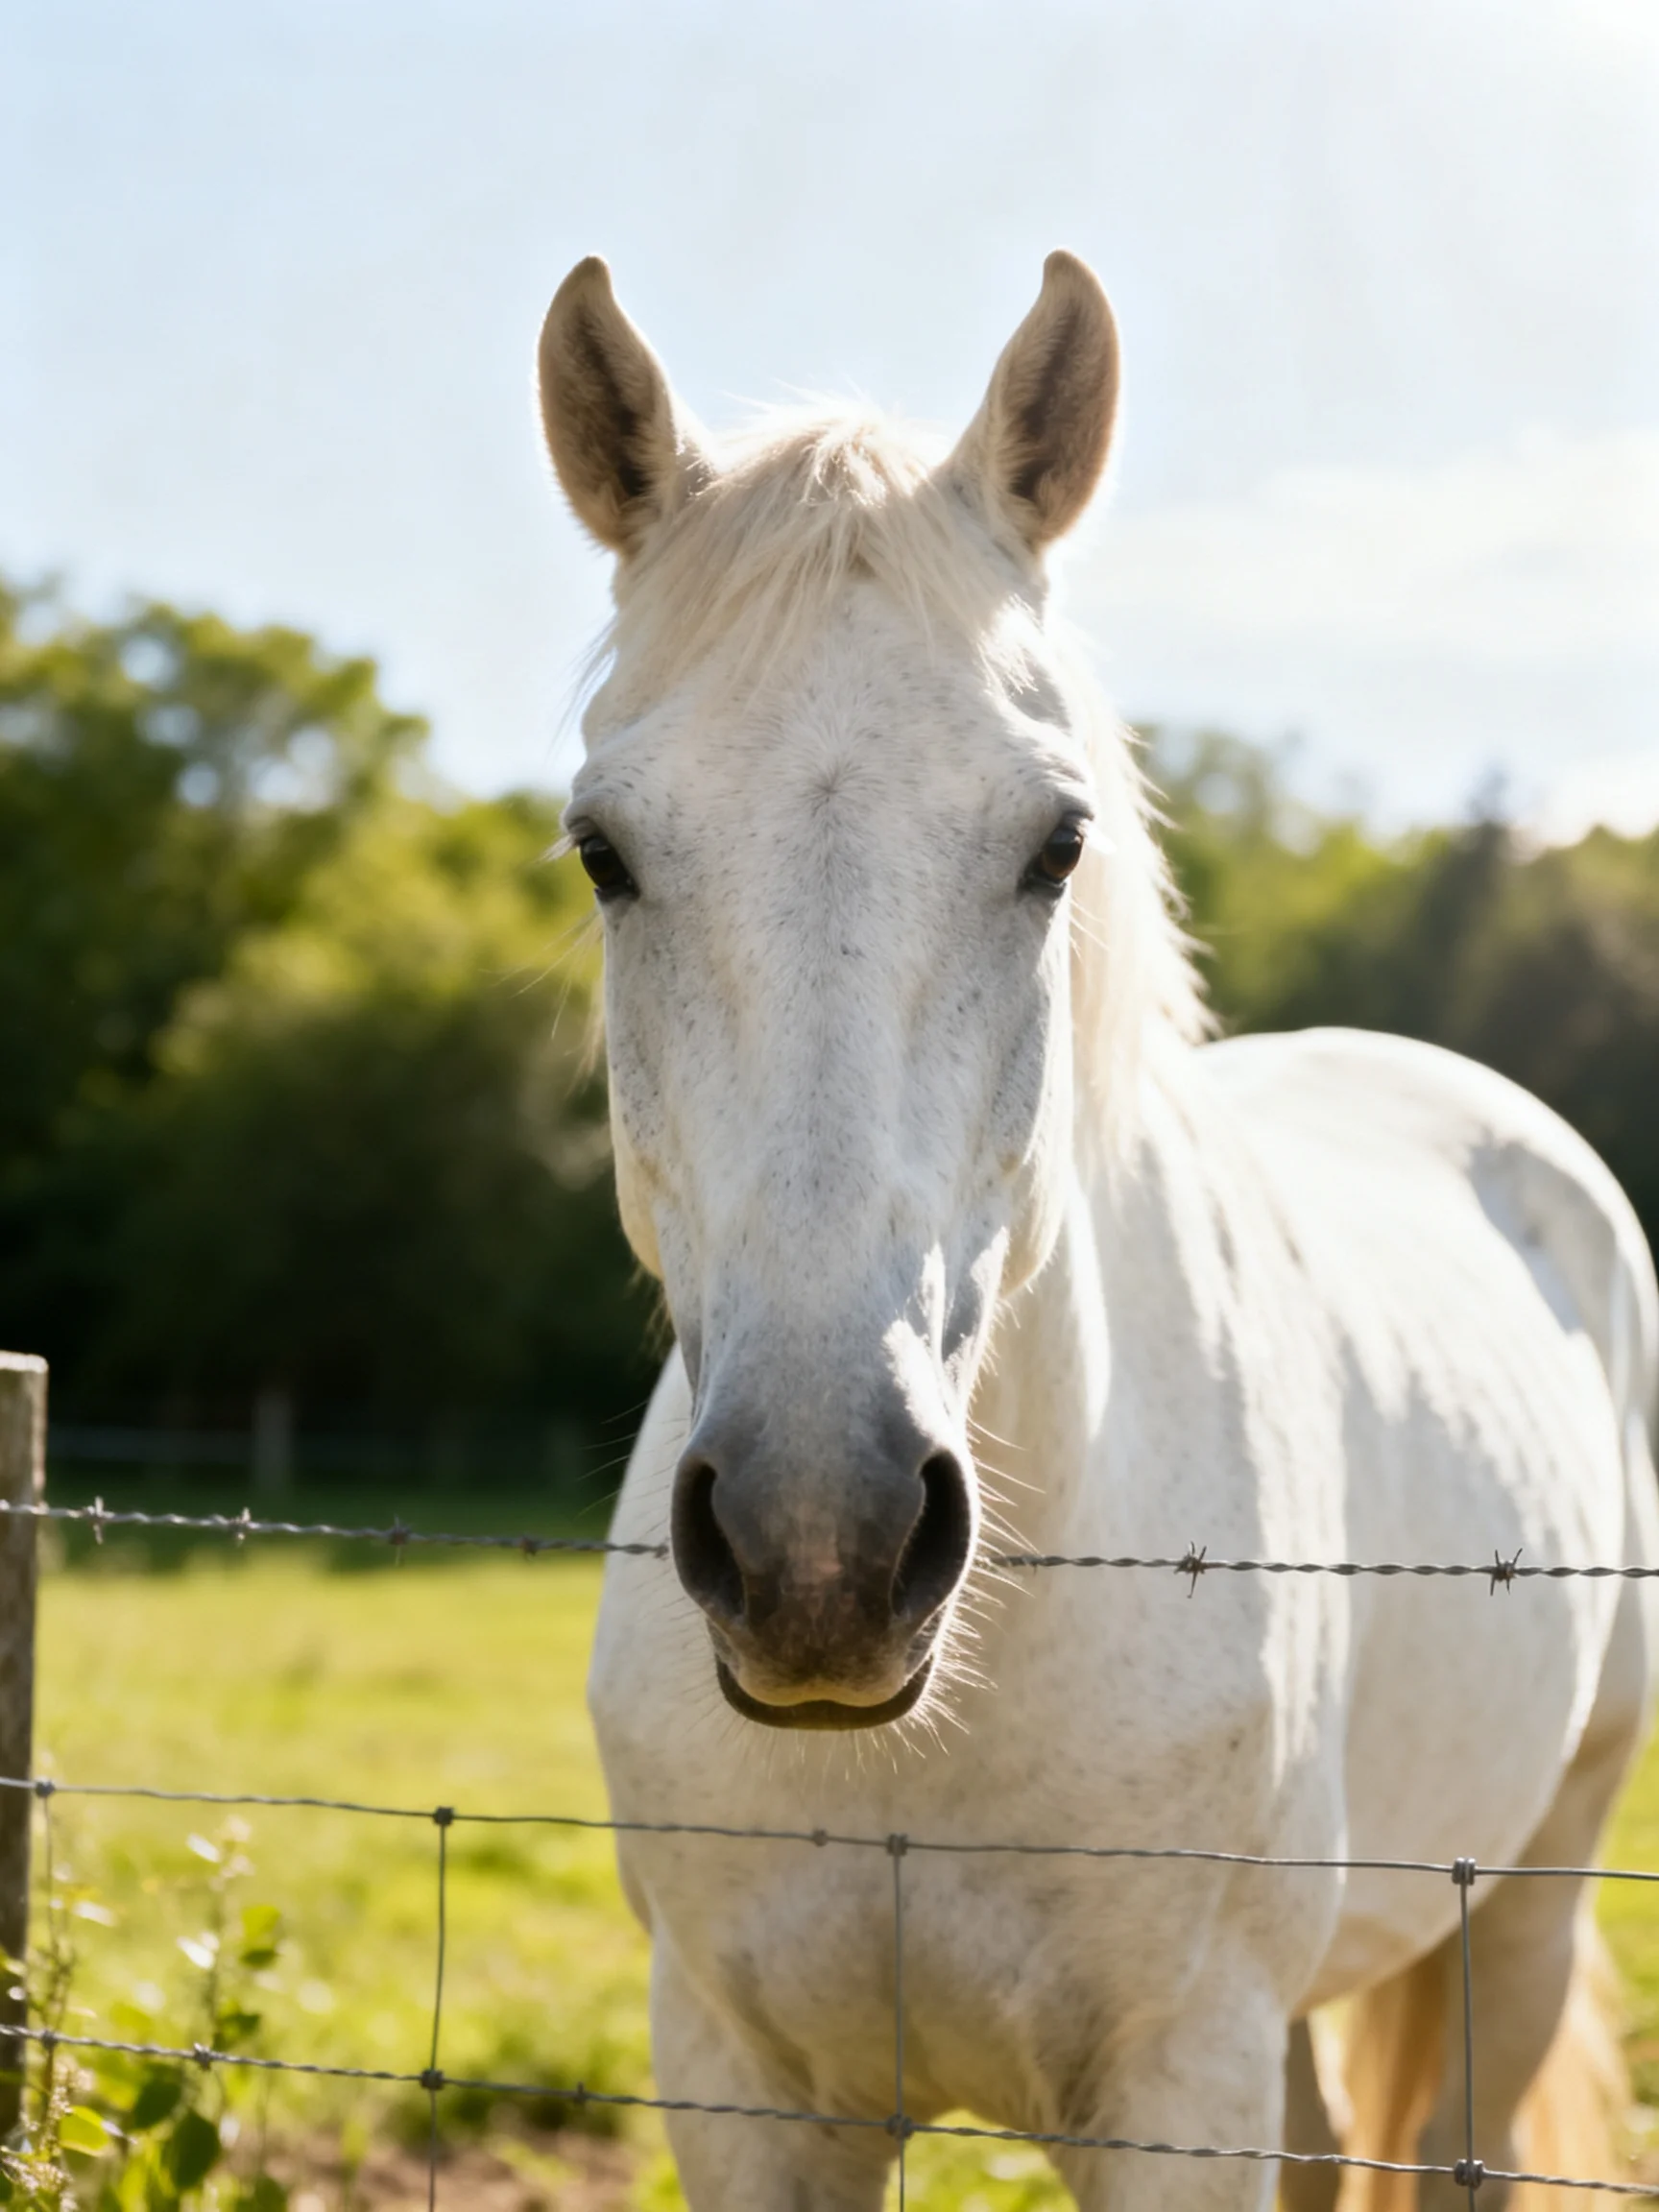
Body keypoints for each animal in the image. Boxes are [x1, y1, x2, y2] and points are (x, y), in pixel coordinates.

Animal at [533, 249, 1659, 2212]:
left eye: (1053, 844)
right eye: (605, 851)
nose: (819, 1546)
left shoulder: (1173, 2088)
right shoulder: (743, 2088)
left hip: (1523, 1906)